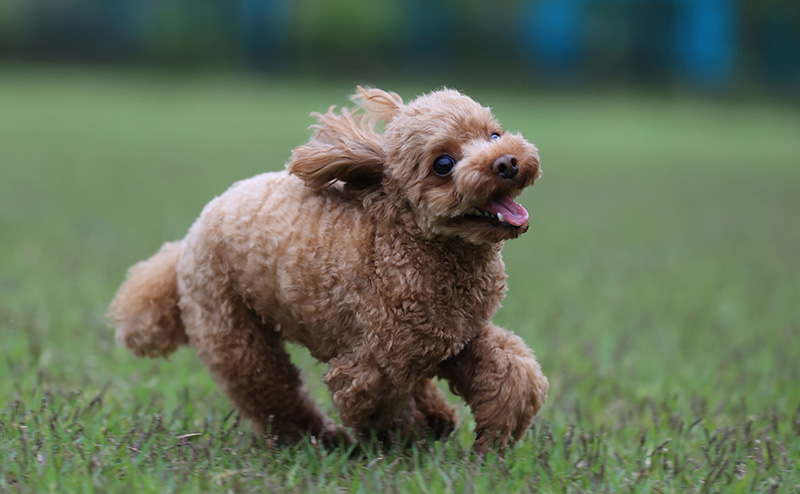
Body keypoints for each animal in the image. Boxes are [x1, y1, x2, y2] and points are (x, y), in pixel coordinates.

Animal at [109, 86, 548, 452]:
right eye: (443, 164)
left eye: (493, 135)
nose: (507, 163)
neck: (401, 239)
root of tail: (188, 238)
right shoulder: (373, 366)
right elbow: (377, 405)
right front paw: (406, 443)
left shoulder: (458, 337)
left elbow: (512, 373)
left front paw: (490, 437)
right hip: (229, 328)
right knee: (270, 392)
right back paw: (320, 438)